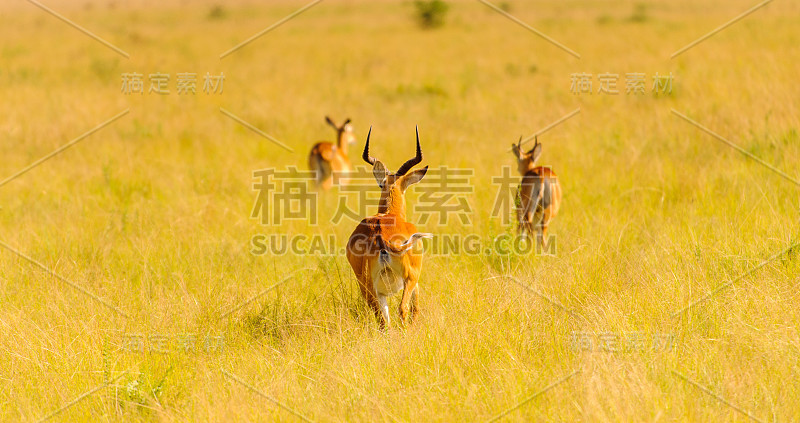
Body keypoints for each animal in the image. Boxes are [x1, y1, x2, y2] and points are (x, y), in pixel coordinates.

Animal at [344, 127, 432, 330]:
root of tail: (380, 236)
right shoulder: (415, 281)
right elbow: (415, 308)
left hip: (369, 288)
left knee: (382, 319)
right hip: (409, 279)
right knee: (403, 309)